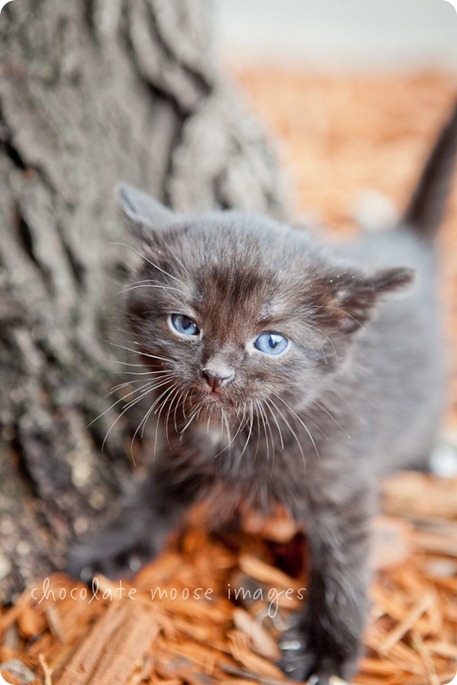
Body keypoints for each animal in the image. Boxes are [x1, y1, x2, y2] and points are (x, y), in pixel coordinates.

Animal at [69, 103, 456, 684]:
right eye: (185, 325)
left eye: (270, 342)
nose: (216, 374)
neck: (235, 430)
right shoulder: (181, 448)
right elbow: (152, 496)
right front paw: (115, 545)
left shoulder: (343, 481)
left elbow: (344, 563)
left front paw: (329, 649)